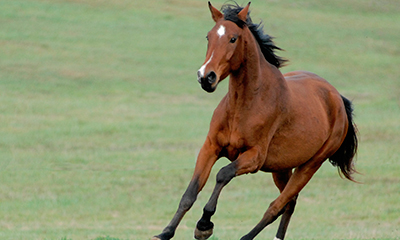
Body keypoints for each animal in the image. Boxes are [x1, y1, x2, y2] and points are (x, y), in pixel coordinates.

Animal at [152, 2, 358, 240]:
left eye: (233, 38)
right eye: (208, 36)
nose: (206, 77)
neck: (243, 106)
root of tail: (338, 99)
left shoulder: (254, 157)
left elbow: (223, 174)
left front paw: (204, 224)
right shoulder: (210, 147)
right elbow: (190, 192)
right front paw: (165, 232)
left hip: (310, 166)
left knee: (276, 206)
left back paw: (246, 237)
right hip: (281, 168)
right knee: (290, 203)